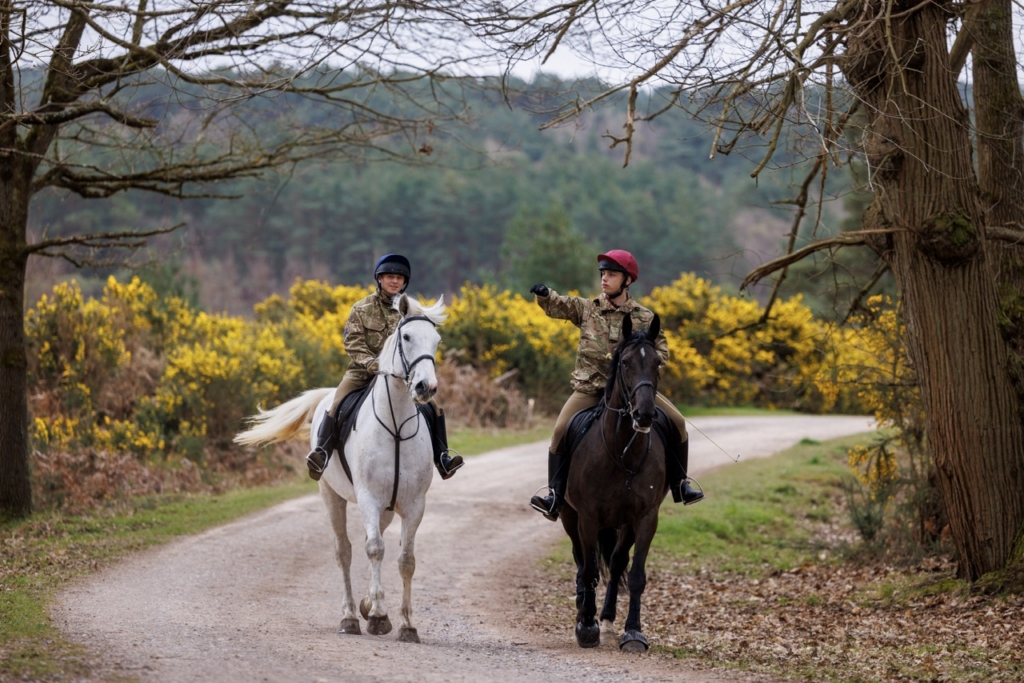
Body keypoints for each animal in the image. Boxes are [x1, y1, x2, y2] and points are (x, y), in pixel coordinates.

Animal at [234, 293, 446, 643]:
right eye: (405, 337)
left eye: (436, 341)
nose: (425, 387)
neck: (396, 427)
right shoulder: (368, 498)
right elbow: (374, 549)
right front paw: (379, 616)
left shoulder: (414, 504)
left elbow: (405, 560)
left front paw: (406, 624)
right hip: (331, 495)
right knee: (344, 551)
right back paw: (350, 616)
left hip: (386, 509)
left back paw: (364, 605)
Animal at [559, 313, 667, 653]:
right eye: (626, 363)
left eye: (658, 362)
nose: (644, 414)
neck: (623, 452)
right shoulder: (587, 518)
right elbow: (590, 569)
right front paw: (586, 627)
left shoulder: (645, 518)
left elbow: (636, 575)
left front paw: (633, 632)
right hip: (569, 516)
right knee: (582, 562)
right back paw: (586, 612)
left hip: (624, 524)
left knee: (618, 562)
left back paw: (606, 619)